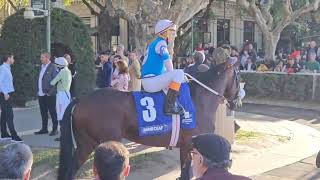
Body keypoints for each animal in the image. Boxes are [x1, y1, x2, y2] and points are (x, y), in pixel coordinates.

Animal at [57, 60, 239, 180]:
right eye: (238, 77)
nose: (236, 101)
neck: (198, 100)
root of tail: (81, 100)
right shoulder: (188, 145)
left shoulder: (186, 147)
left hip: (85, 143)